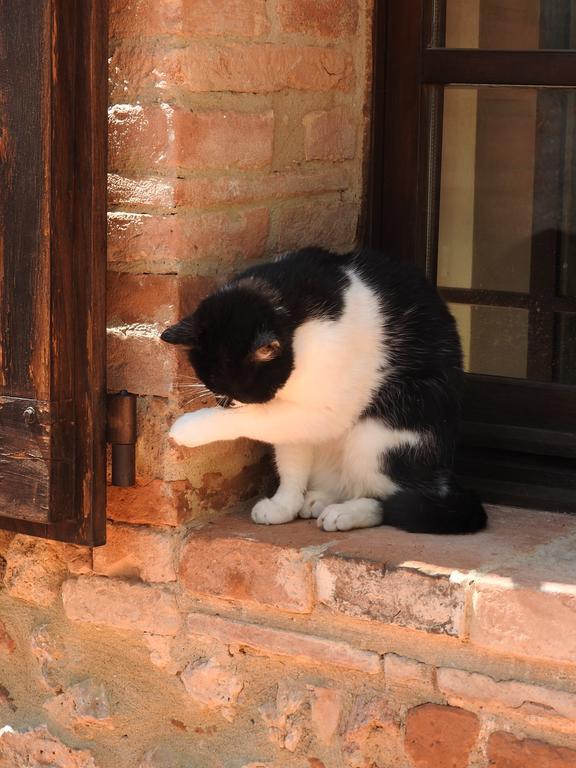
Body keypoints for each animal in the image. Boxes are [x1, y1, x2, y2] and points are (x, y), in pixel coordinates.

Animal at [161, 248, 486, 536]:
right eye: (217, 389)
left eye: (249, 392)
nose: (231, 403)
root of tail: (442, 475)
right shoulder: (294, 403)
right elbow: (290, 454)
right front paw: (284, 505)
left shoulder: (323, 408)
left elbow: (262, 421)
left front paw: (189, 428)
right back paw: (319, 499)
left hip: (382, 431)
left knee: (393, 499)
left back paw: (347, 512)